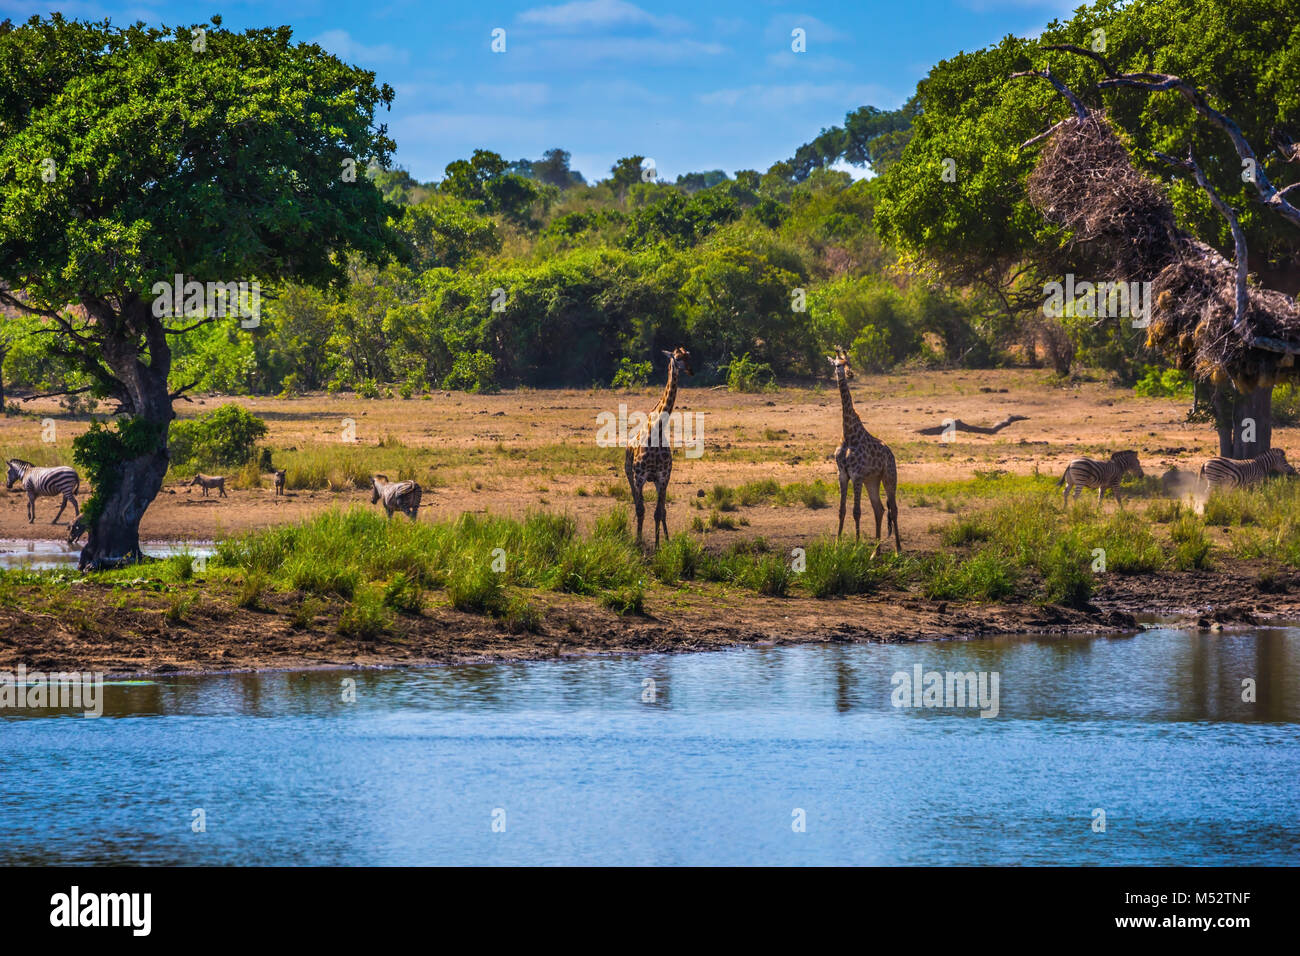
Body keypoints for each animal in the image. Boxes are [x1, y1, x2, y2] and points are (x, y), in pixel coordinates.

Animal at [626, 348, 696, 548]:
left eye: (689, 356)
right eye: (677, 358)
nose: (691, 371)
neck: (656, 430)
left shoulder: (663, 476)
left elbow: (658, 512)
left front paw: (658, 546)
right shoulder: (639, 477)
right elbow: (641, 510)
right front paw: (638, 543)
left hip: (660, 482)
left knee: (662, 510)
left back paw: (667, 539)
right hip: (629, 475)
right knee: (636, 503)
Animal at [826, 348, 899, 556]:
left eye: (848, 362)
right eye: (837, 364)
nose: (849, 374)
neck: (849, 434)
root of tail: (891, 454)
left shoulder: (856, 474)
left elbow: (856, 511)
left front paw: (855, 548)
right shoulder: (843, 474)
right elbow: (842, 510)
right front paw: (837, 547)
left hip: (889, 477)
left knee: (893, 509)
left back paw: (898, 550)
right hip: (872, 480)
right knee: (879, 508)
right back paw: (876, 552)